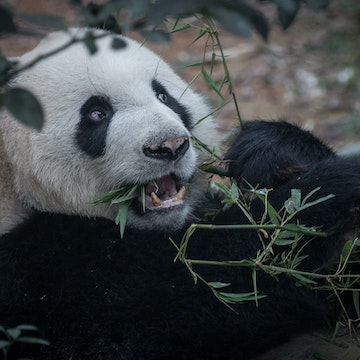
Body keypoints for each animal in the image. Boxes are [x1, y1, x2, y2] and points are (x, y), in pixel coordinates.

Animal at [0, 28, 358, 360]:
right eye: (97, 113)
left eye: (163, 96)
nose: (170, 145)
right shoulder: (40, 280)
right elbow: (188, 297)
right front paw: (327, 195)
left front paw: (270, 150)